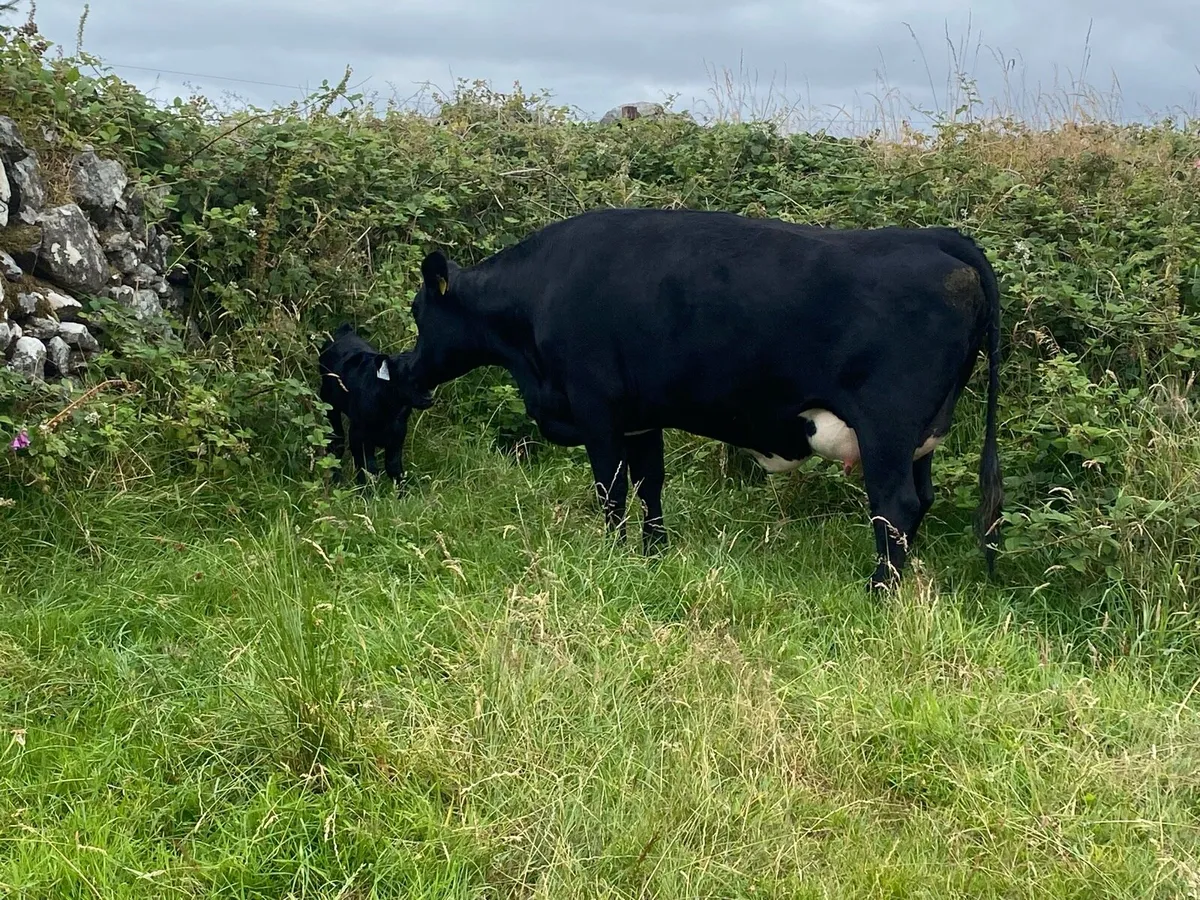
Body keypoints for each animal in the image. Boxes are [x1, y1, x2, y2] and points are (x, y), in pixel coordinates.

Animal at [318, 322, 432, 487]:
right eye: (405, 373)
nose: (428, 395)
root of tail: (345, 330)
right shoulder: (358, 435)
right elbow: (368, 469)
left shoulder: (398, 433)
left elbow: (394, 468)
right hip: (329, 403)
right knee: (336, 442)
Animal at [395, 207, 1003, 591]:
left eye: (418, 312)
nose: (405, 370)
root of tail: (933, 236)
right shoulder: (640, 416)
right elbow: (649, 484)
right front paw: (653, 552)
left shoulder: (596, 408)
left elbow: (612, 488)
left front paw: (612, 553)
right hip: (920, 437)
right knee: (919, 502)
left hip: (886, 429)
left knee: (895, 504)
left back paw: (879, 590)